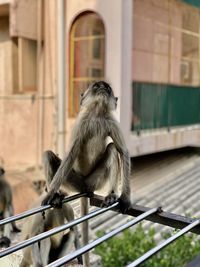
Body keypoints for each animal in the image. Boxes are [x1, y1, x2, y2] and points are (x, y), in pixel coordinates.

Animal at [41, 80, 130, 213]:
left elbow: (123, 151)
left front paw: (125, 198)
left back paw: (111, 195)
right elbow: (70, 155)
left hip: (94, 182)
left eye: (108, 88)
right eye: (96, 86)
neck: (97, 114)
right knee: (48, 155)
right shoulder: (81, 123)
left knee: (112, 148)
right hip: (75, 181)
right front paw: (50, 193)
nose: (103, 88)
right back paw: (56, 195)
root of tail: (84, 186)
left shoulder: (112, 122)